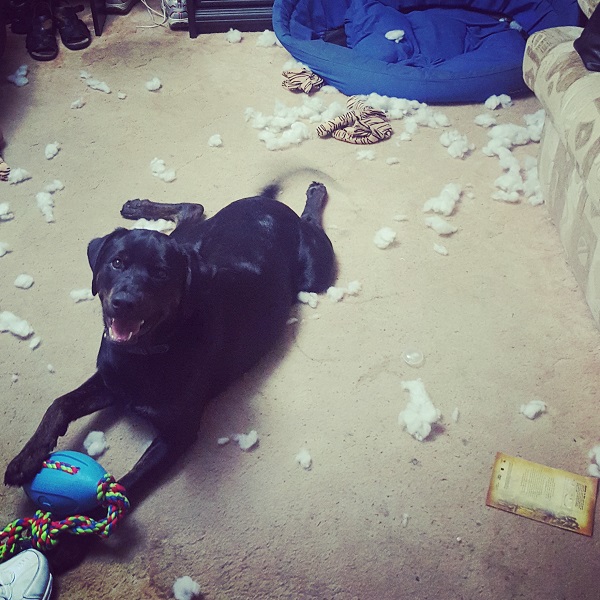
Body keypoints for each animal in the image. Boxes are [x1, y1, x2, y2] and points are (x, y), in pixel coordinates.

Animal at [4, 182, 336, 502]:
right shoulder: (111, 382)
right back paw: (137, 206)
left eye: (161, 273)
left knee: (307, 225)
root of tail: (269, 204)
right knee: (193, 209)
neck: (147, 352)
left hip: (315, 273)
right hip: (191, 241)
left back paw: (315, 193)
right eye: (117, 263)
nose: (123, 303)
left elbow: (126, 486)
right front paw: (26, 459)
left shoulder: (177, 433)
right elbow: (60, 403)